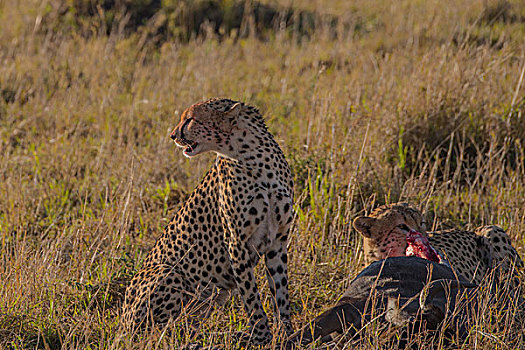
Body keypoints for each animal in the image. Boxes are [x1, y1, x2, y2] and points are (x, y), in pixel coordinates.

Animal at [122, 97, 294, 344]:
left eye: (190, 119)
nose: (172, 135)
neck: (250, 156)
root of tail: (123, 324)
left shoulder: (278, 241)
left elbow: (280, 293)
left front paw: (287, 334)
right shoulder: (236, 242)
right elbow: (251, 298)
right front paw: (262, 336)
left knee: (182, 329)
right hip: (169, 272)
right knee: (160, 334)